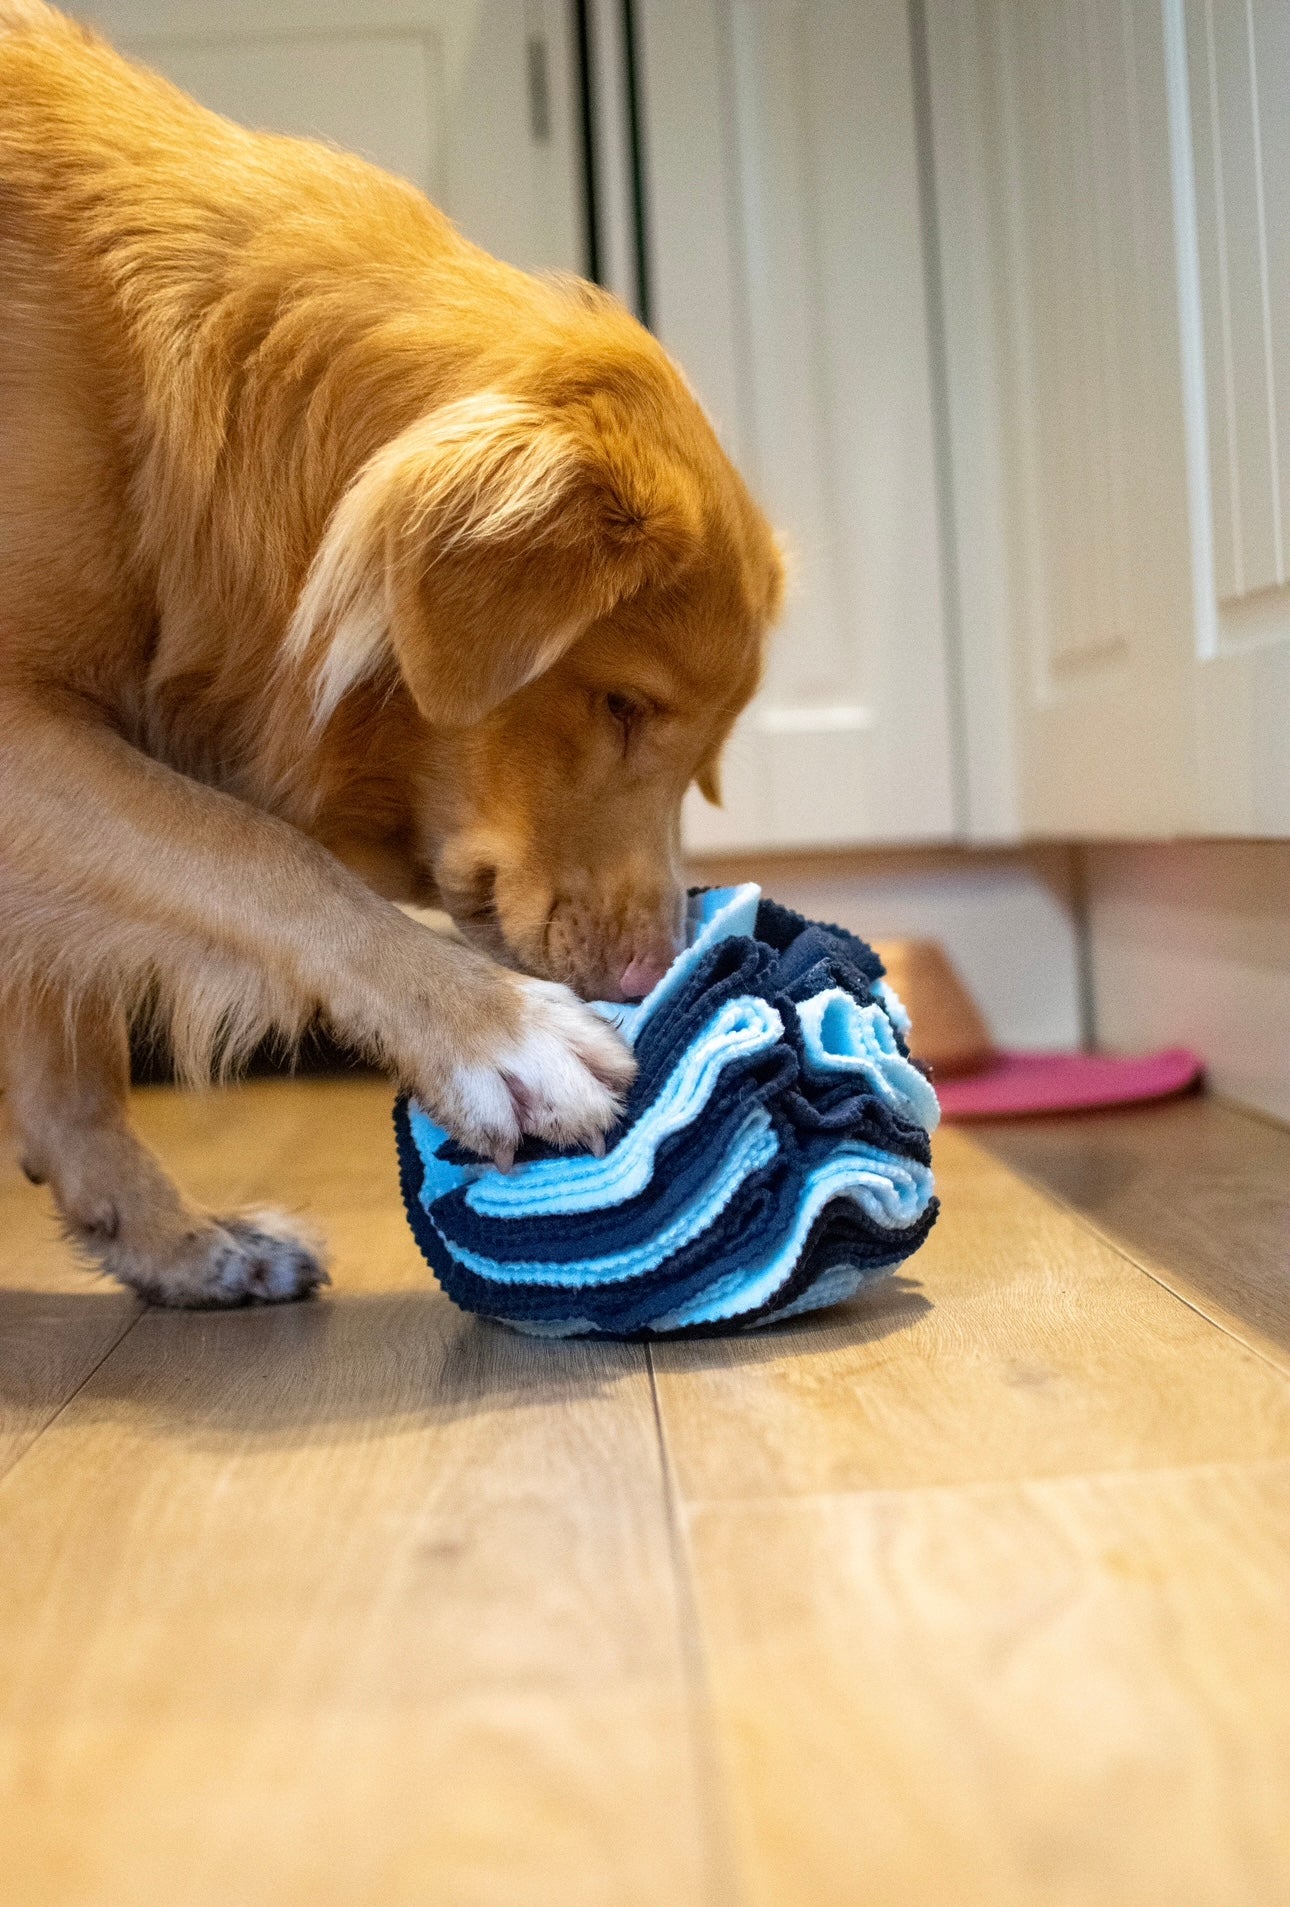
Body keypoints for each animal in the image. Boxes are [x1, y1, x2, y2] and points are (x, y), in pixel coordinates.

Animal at [0, 0, 782, 1304]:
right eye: (622, 704)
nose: (644, 980)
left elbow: (74, 1051)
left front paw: (165, 1235)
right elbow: (253, 851)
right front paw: (497, 1031)